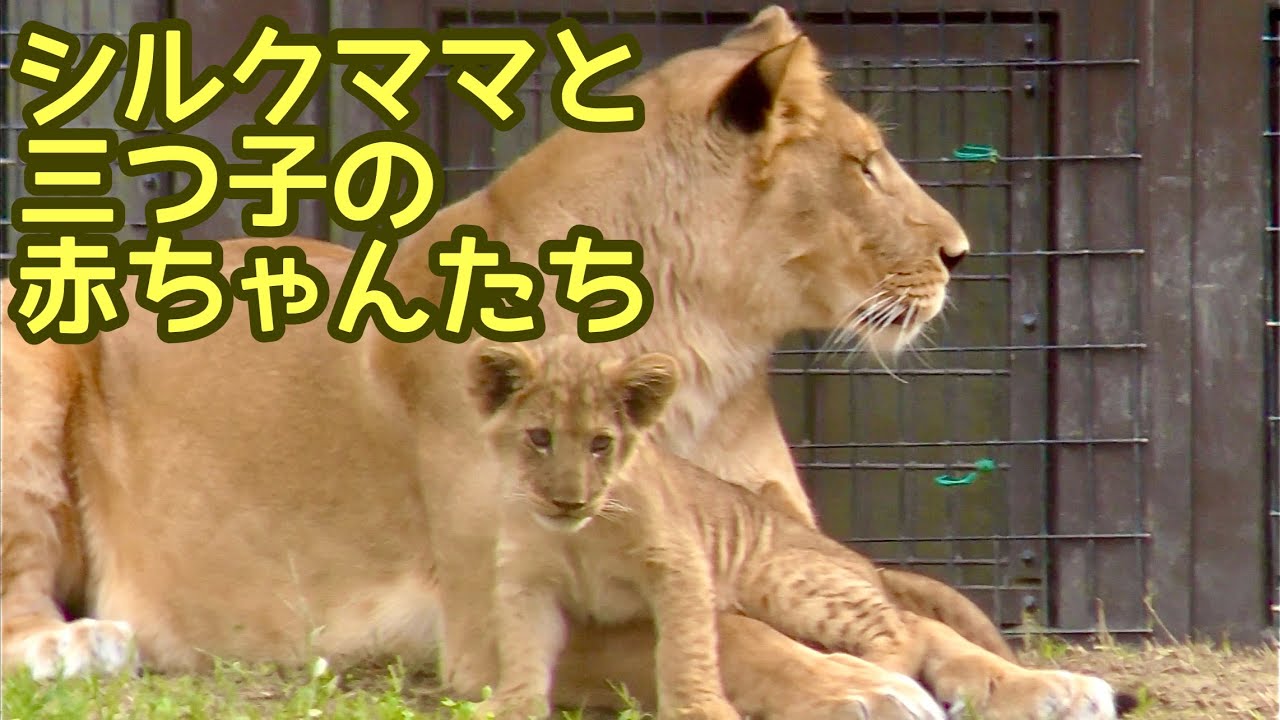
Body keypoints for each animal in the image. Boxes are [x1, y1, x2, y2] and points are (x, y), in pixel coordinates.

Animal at [4, 7, 1040, 718]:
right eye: (864, 166)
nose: (960, 252)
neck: (704, 352)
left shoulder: (783, 540)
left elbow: (917, 623)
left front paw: (1031, 682)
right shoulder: (488, 621)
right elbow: (729, 635)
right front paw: (861, 689)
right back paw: (80, 646)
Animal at [464, 335, 1133, 720]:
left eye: (602, 445)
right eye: (539, 438)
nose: (567, 498)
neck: (578, 537)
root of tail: (858, 560)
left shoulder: (679, 570)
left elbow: (689, 646)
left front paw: (701, 708)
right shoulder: (519, 589)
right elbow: (525, 650)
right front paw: (511, 707)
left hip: (784, 578)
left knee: (902, 629)